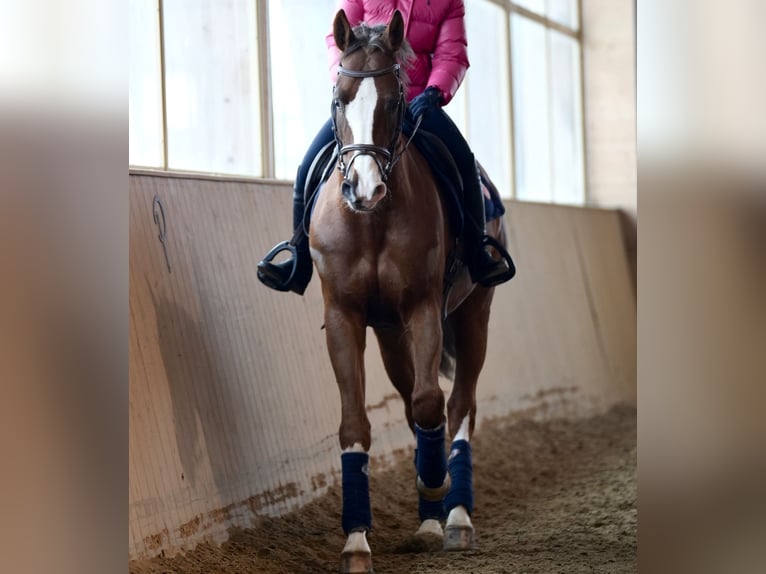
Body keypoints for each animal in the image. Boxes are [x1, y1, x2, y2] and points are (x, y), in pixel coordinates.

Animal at [309, 9, 509, 573]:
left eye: (397, 101)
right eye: (340, 99)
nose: (364, 188)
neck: (373, 222)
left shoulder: (424, 308)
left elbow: (429, 404)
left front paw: (434, 483)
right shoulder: (346, 317)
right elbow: (355, 424)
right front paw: (356, 543)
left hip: (473, 316)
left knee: (457, 407)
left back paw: (453, 515)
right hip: (389, 333)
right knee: (415, 404)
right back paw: (428, 521)